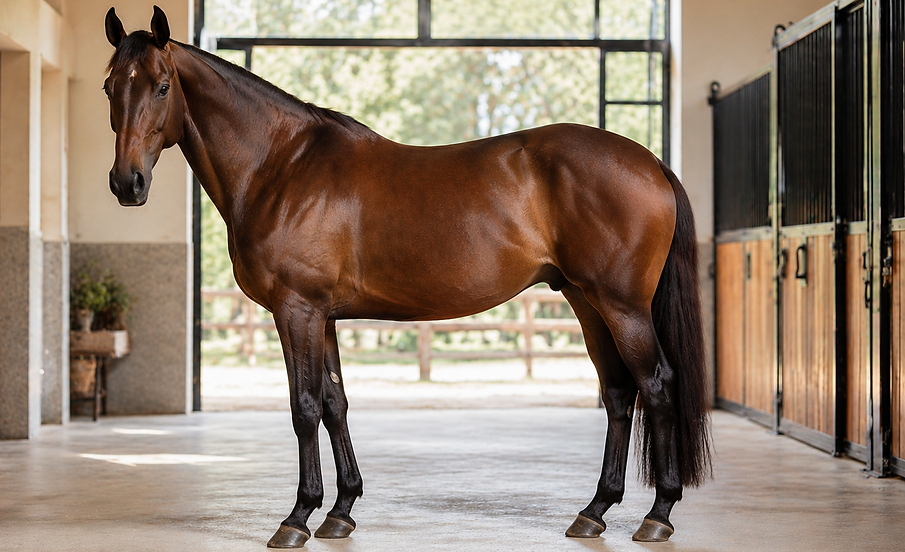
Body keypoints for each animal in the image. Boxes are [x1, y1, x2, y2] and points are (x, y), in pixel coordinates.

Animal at [103, 6, 711, 548]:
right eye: (111, 88)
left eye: (162, 87)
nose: (127, 184)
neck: (281, 166)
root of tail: (651, 163)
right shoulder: (322, 316)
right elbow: (335, 403)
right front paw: (341, 510)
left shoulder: (297, 309)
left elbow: (304, 408)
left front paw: (297, 517)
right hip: (588, 303)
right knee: (619, 393)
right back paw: (594, 511)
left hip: (621, 306)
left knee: (657, 385)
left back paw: (657, 514)